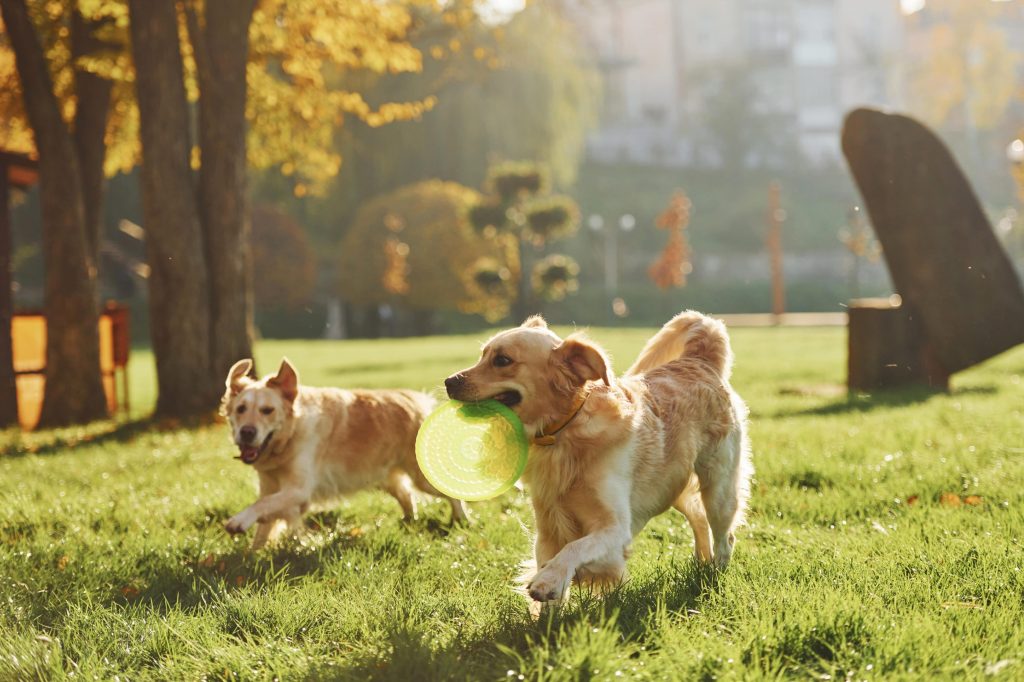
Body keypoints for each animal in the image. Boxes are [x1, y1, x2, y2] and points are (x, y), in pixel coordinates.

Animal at [224, 356, 468, 548]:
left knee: (451, 494)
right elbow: (263, 525)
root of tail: (418, 400)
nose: (247, 432)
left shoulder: (299, 491)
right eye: (240, 409)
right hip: (386, 476)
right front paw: (253, 555)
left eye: (267, 411)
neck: (286, 438)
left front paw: (239, 521)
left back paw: (462, 520)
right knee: (406, 494)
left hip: (421, 477)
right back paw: (408, 522)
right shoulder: (269, 486)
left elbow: (263, 505)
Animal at [446, 311, 753, 602]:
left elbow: (574, 547)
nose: (449, 381)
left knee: (725, 536)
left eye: (502, 360)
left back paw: (714, 575)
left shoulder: (615, 527)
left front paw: (548, 581)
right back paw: (702, 562)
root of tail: (698, 360)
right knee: (699, 518)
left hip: (719, 490)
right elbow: (551, 567)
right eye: (483, 355)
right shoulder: (547, 528)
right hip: (673, 485)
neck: (563, 433)